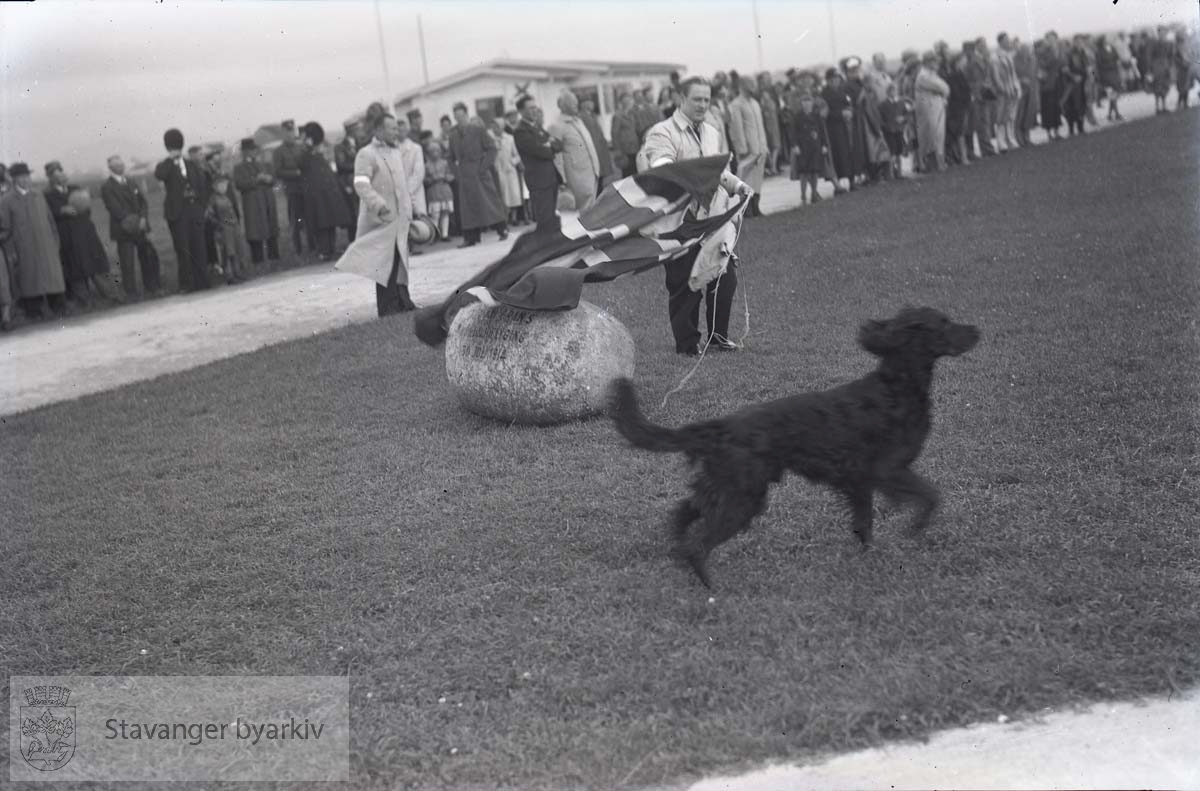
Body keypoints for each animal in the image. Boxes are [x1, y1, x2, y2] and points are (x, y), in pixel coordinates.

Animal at [614, 307, 979, 588]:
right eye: (944, 322)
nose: (977, 329)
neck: (896, 387)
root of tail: (724, 425)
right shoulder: (887, 470)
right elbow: (931, 495)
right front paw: (915, 529)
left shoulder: (861, 481)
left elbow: (865, 523)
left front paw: (870, 556)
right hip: (743, 496)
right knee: (699, 544)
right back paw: (711, 589)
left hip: (727, 487)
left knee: (682, 514)